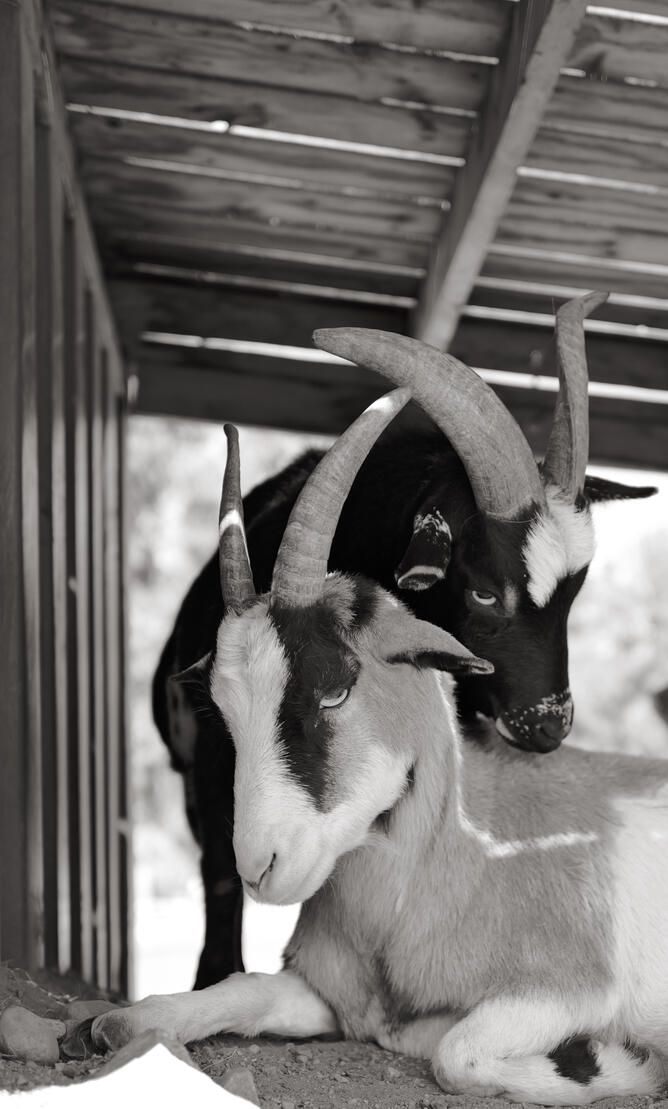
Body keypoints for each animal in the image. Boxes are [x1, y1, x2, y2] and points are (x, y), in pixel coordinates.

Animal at [96, 392, 668, 1105]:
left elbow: (457, 1053)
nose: (261, 866)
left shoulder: (569, 989)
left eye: (337, 689)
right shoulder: (326, 990)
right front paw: (115, 1023)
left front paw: (613, 1060)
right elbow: (243, 989)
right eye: (220, 707)